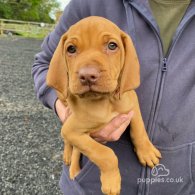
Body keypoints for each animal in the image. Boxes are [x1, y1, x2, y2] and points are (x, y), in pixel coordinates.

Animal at [46, 16, 161, 195]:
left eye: (112, 46)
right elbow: (105, 153)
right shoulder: (71, 130)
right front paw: (111, 181)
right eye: (71, 49)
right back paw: (70, 163)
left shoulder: (131, 100)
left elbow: (139, 127)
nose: (87, 75)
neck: (106, 102)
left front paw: (146, 151)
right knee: (71, 145)